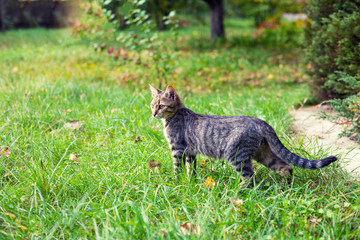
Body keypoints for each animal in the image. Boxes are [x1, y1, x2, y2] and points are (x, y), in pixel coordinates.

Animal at [150, 85, 338, 179]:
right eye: (152, 105)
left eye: (161, 106)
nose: (153, 114)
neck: (174, 116)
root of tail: (261, 122)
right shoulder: (190, 152)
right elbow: (191, 170)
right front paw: (191, 183)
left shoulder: (178, 149)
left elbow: (178, 170)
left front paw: (177, 183)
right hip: (262, 154)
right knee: (286, 167)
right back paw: (285, 188)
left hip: (237, 156)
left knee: (249, 179)